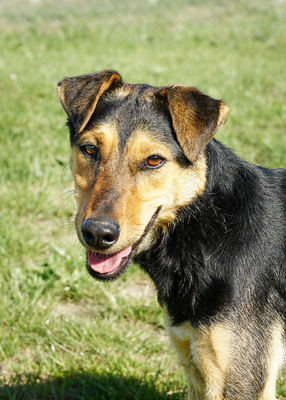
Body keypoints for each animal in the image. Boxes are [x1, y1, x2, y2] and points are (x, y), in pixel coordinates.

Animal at [57, 70, 284, 398]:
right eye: (90, 149)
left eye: (154, 160)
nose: (98, 234)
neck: (207, 227)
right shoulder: (195, 364)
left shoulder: (241, 380)